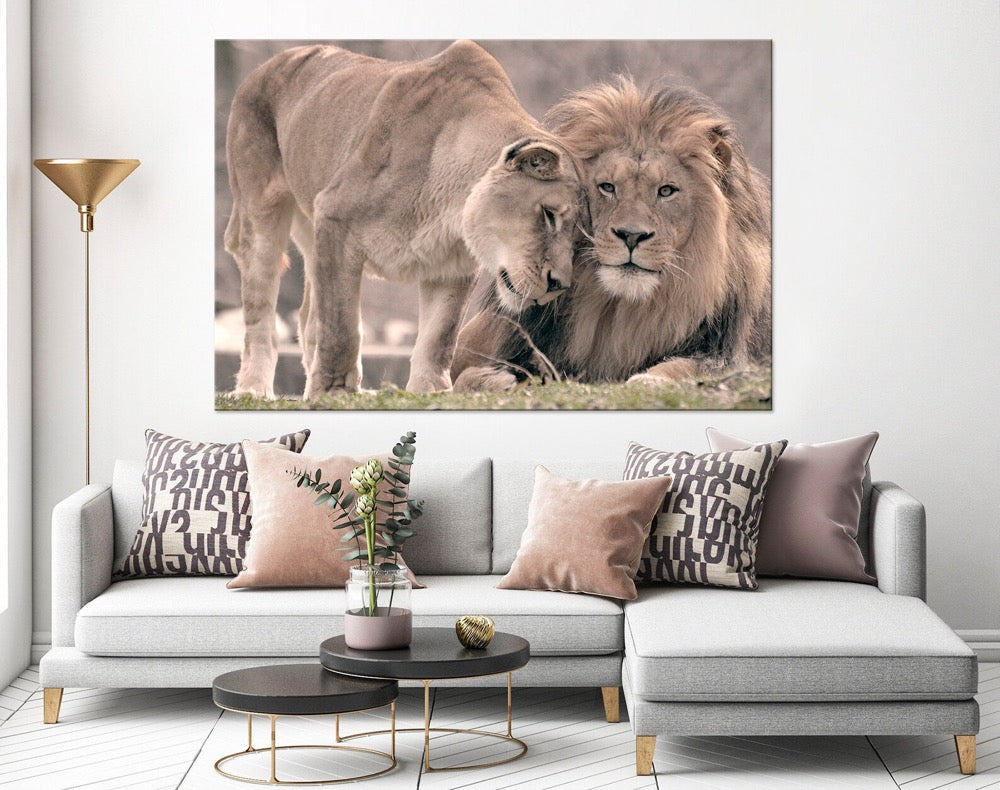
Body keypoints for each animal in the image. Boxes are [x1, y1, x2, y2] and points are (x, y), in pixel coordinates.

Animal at [224, 40, 582, 398]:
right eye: (549, 215)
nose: (559, 284)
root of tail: (266, 66)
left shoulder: (454, 263)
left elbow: (439, 336)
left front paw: (431, 390)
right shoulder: (335, 216)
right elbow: (341, 327)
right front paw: (336, 392)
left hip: (312, 233)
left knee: (308, 317)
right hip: (261, 216)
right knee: (261, 318)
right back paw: (253, 389)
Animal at [452, 77, 771, 392]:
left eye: (666, 191)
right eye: (607, 187)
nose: (631, 235)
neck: (618, 313)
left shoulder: (727, 354)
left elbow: (687, 368)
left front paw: (649, 380)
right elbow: (461, 378)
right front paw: (493, 380)